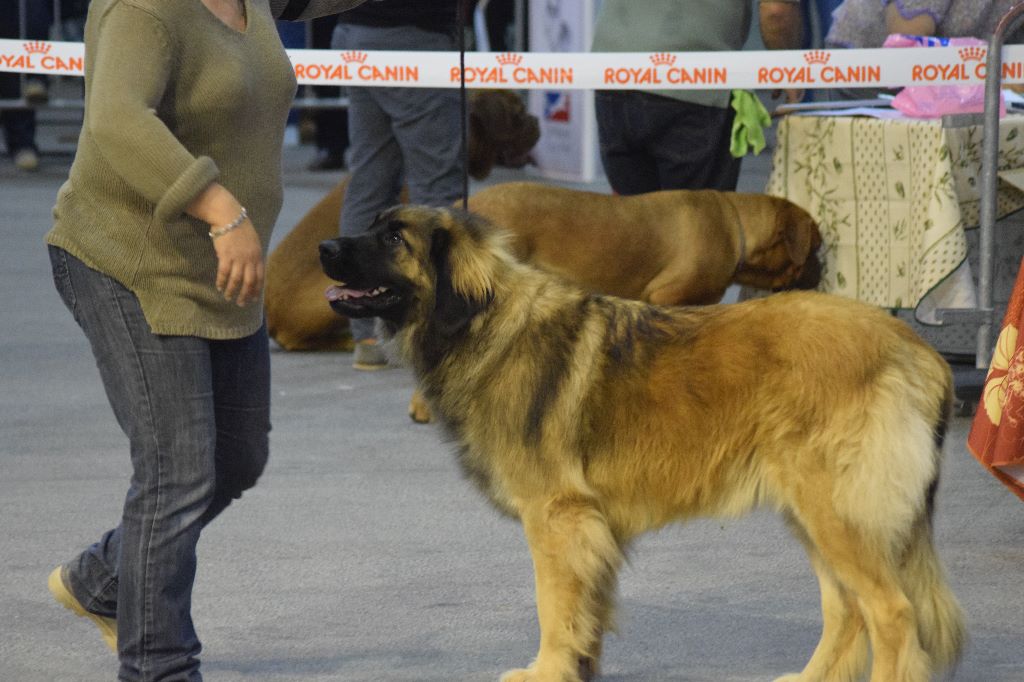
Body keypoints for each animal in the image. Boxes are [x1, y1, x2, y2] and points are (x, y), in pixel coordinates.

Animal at [321, 204, 966, 679]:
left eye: (394, 237)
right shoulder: (590, 527)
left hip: (835, 511)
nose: (325, 248)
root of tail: (916, 347)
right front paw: (580, 669)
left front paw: (547, 671)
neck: (482, 324)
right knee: (848, 609)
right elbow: (585, 612)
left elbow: (553, 608)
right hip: (813, 512)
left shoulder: (557, 516)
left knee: (891, 613)